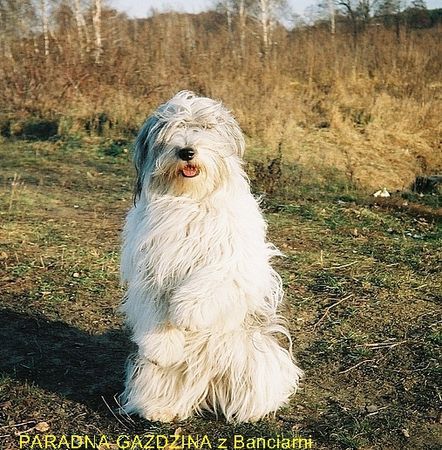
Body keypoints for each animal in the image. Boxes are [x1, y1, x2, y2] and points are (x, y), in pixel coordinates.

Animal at [119, 91, 302, 422]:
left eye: (205, 127)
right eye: (169, 130)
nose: (187, 151)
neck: (190, 200)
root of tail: (208, 385)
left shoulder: (234, 260)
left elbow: (213, 281)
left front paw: (188, 312)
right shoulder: (152, 268)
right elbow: (156, 308)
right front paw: (162, 346)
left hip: (255, 359)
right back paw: (159, 407)